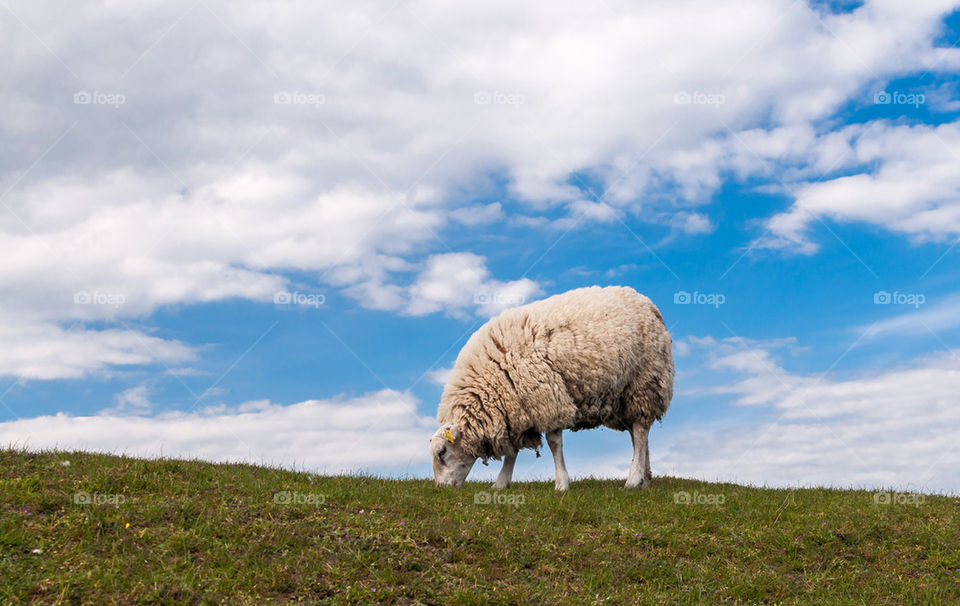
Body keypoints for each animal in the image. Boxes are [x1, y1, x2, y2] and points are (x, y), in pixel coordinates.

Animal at [430, 285, 673, 491]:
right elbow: (512, 451)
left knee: (640, 432)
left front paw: (562, 484)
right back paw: (645, 479)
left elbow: (554, 443)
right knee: (638, 432)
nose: (442, 488)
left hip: (644, 382)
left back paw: (633, 480)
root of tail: (646, 302)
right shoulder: (516, 409)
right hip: (624, 397)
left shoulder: (547, 399)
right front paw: (501, 483)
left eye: (442, 452)